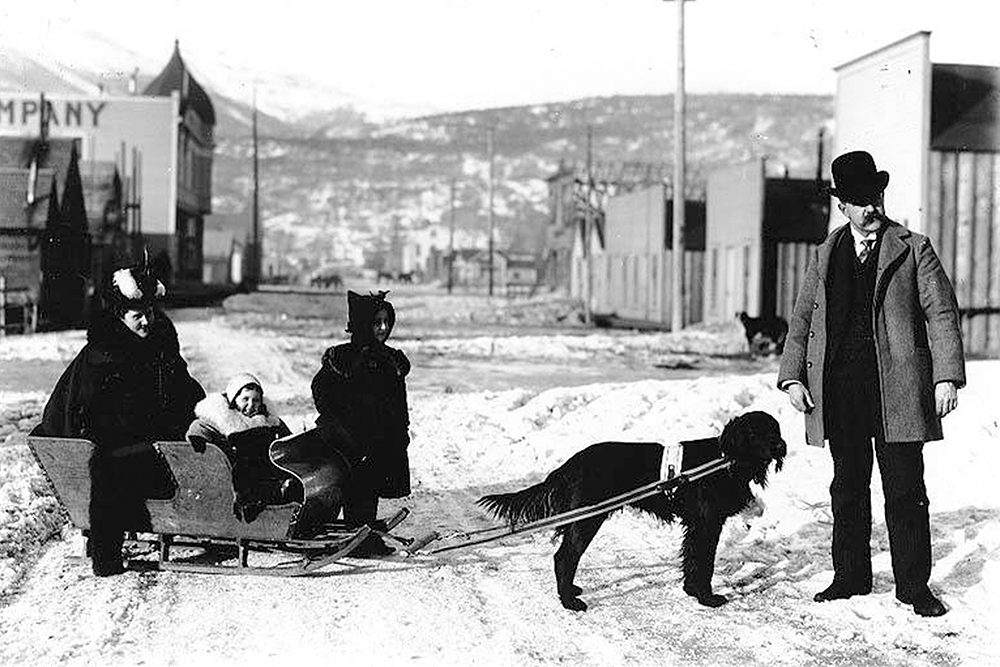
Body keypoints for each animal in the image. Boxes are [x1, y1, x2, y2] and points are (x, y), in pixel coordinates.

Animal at [480, 410, 784, 612]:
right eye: (754, 432)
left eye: (776, 430)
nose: (780, 446)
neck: (725, 460)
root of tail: (572, 463)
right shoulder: (708, 523)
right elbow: (704, 563)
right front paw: (707, 598)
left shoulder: (696, 525)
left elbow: (691, 560)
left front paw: (691, 591)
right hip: (588, 519)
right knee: (564, 557)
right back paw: (569, 601)